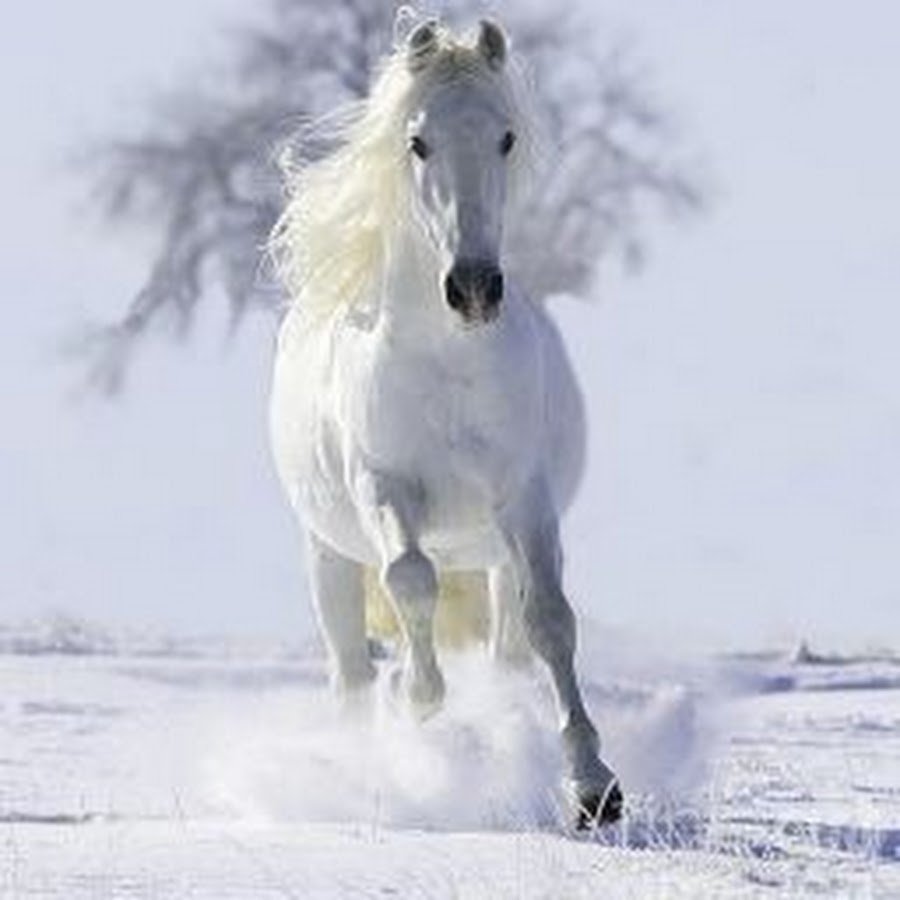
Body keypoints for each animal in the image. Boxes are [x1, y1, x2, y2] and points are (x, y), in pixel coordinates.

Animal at [269, 18, 622, 827]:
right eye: (418, 141)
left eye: (506, 137)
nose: (474, 288)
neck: (450, 362)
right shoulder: (384, 487)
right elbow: (410, 581)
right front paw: (422, 710)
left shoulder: (525, 498)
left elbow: (551, 620)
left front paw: (594, 786)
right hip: (327, 553)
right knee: (351, 670)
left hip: (490, 554)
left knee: (506, 648)